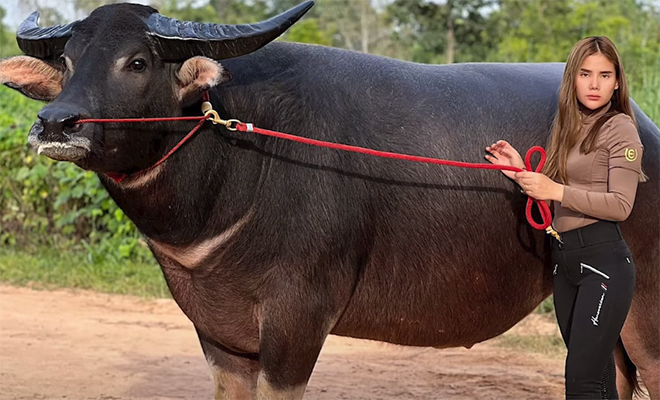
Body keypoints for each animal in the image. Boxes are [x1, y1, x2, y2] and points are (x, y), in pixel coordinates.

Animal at [0, 1, 656, 398]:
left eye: (136, 61)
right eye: (67, 61)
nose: (55, 123)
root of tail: (642, 126)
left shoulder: (297, 324)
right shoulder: (220, 338)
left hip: (644, 304)